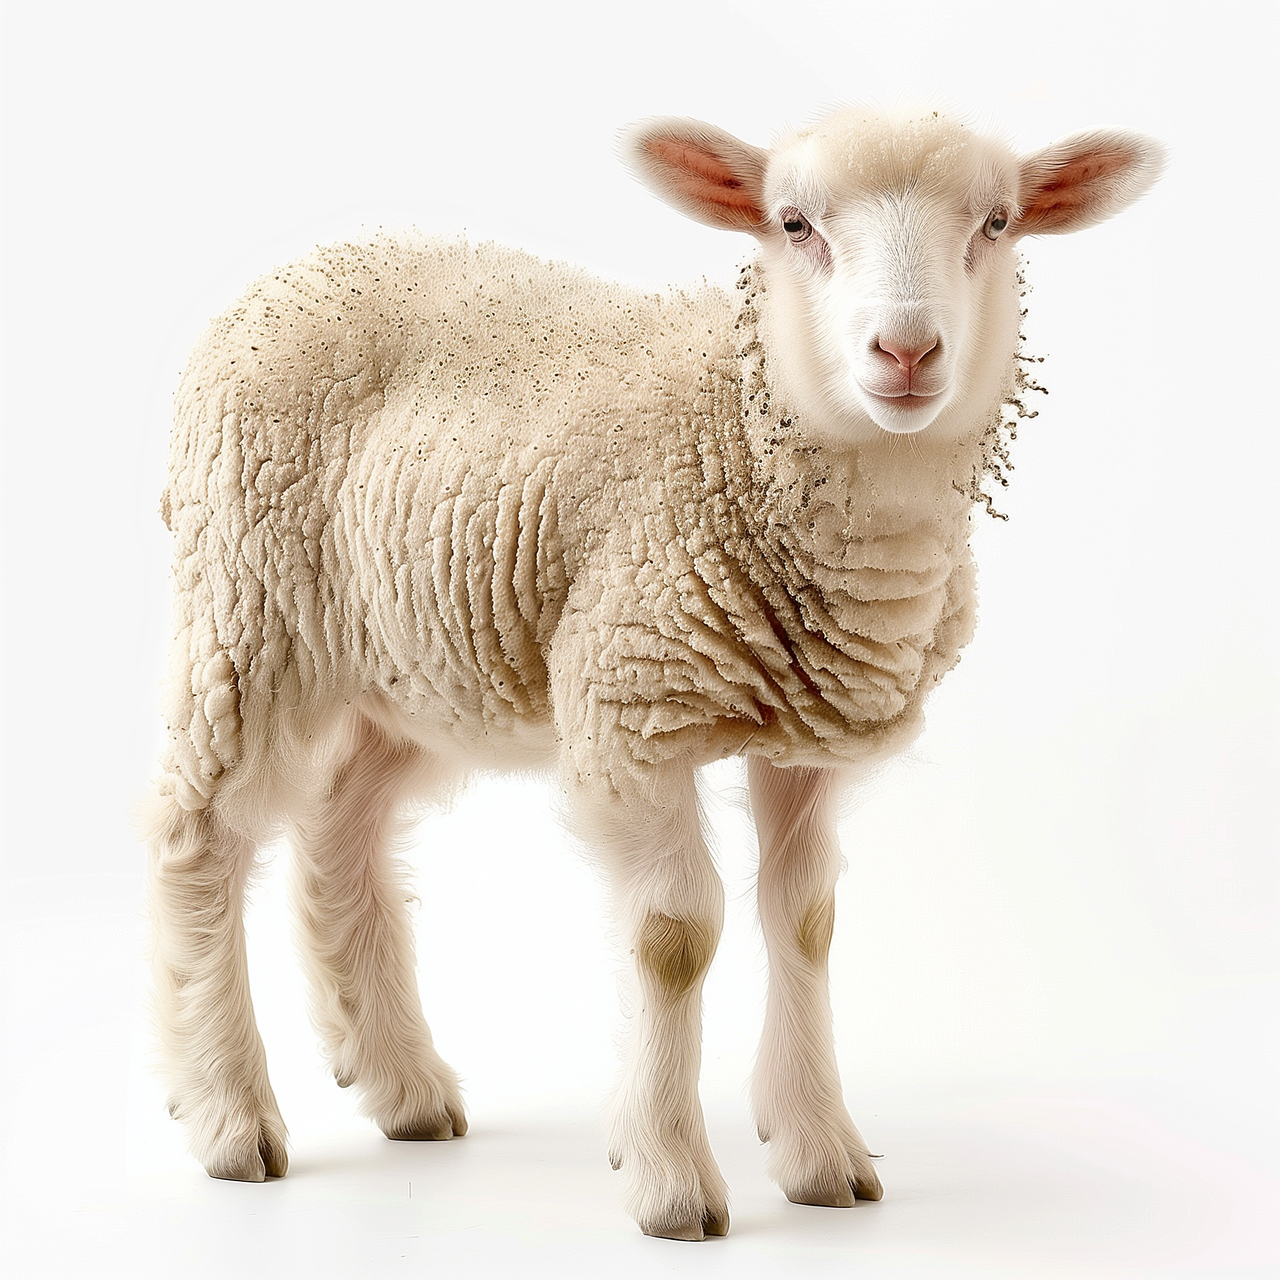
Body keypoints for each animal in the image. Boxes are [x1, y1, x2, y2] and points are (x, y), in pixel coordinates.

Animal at [144, 106, 1165, 1240]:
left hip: (417, 666)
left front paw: (819, 1154)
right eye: (792, 222)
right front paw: (671, 1176)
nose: (905, 349)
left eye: (995, 222)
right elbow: (676, 936)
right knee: (201, 834)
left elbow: (805, 921)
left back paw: (403, 1085)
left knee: (340, 830)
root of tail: (293, 270)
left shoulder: (806, 738)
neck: (745, 434)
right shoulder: (628, 703)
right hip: (249, 607)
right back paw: (229, 1113)